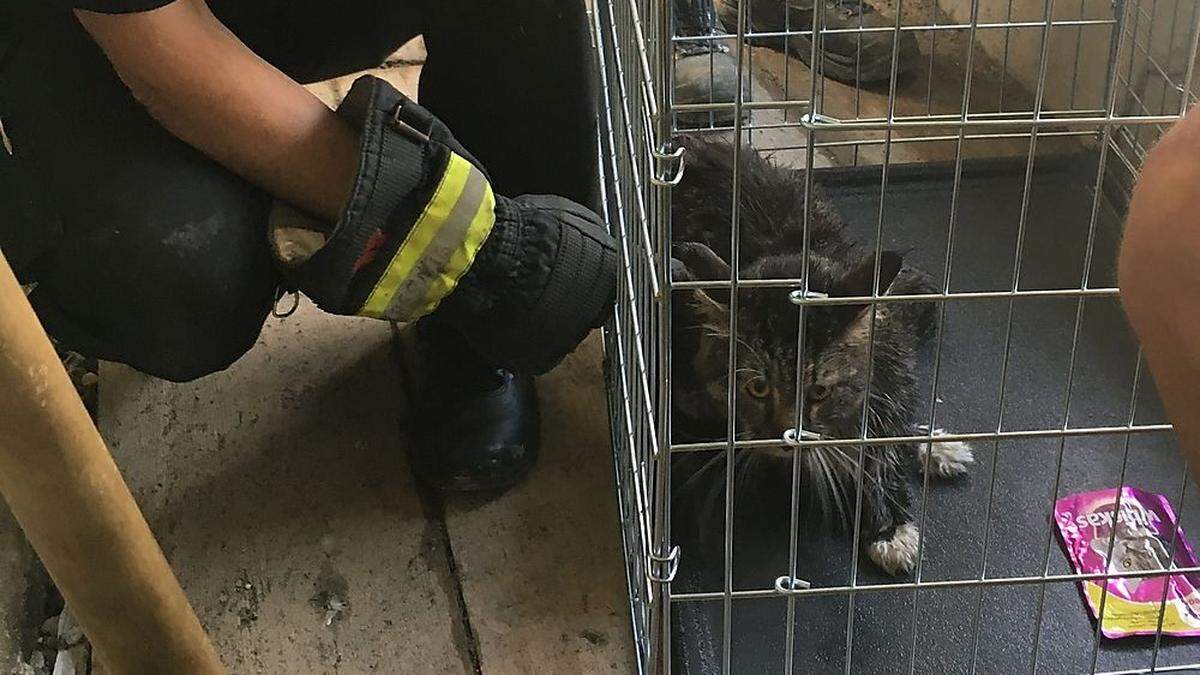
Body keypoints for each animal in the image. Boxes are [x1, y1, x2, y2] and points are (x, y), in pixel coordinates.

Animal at [672, 135, 969, 571]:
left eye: (819, 391)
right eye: (757, 388)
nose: (785, 439)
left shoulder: (896, 344)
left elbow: (885, 430)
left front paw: (889, 520)